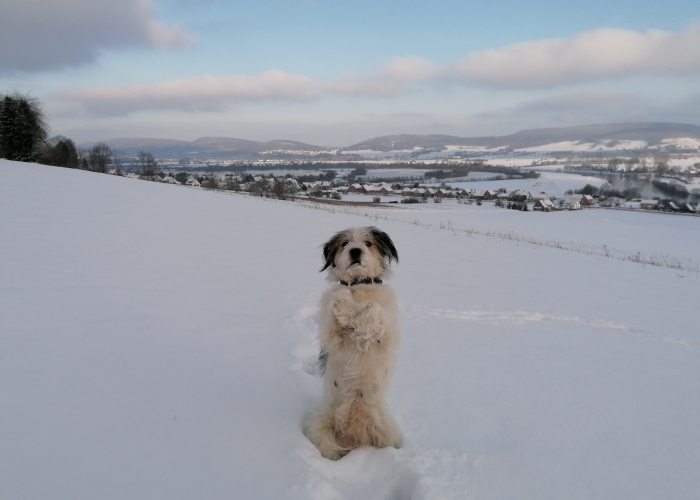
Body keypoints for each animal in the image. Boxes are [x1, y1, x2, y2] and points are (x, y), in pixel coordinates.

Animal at [308, 227, 402, 460]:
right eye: (345, 243)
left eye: (368, 243)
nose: (355, 251)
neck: (358, 285)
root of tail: (356, 438)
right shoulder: (332, 334)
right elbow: (338, 300)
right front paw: (345, 305)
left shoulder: (386, 336)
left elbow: (372, 307)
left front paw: (364, 330)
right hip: (321, 427)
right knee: (331, 449)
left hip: (389, 431)